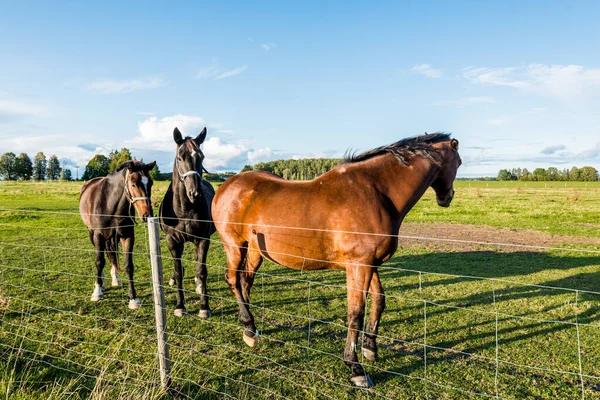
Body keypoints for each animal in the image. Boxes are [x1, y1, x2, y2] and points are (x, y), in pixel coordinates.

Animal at [78, 159, 156, 310]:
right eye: (133, 184)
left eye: (150, 183)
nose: (147, 214)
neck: (110, 203)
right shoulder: (98, 236)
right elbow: (99, 261)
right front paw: (97, 292)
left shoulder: (127, 237)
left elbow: (128, 266)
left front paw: (133, 299)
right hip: (91, 234)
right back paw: (101, 282)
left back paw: (115, 278)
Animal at [159, 126, 216, 318]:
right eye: (179, 157)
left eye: (201, 156)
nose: (195, 194)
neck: (184, 210)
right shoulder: (172, 241)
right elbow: (178, 271)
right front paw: (180, 306)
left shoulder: (203, 240)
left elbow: (202, 270)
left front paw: (204, 307)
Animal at [213, 134, 462, 388]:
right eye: (459, 163)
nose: (447, 197)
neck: (377, 192)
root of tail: (227, 185)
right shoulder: (359, 266)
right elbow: (355, 313)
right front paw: (355, 367)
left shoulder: (370, 264)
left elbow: (379, 301)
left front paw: (370, 348)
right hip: (234, 247)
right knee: (233, 279)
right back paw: (249, 327)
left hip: (255, 251)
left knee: (245, 281)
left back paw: (249, 327)